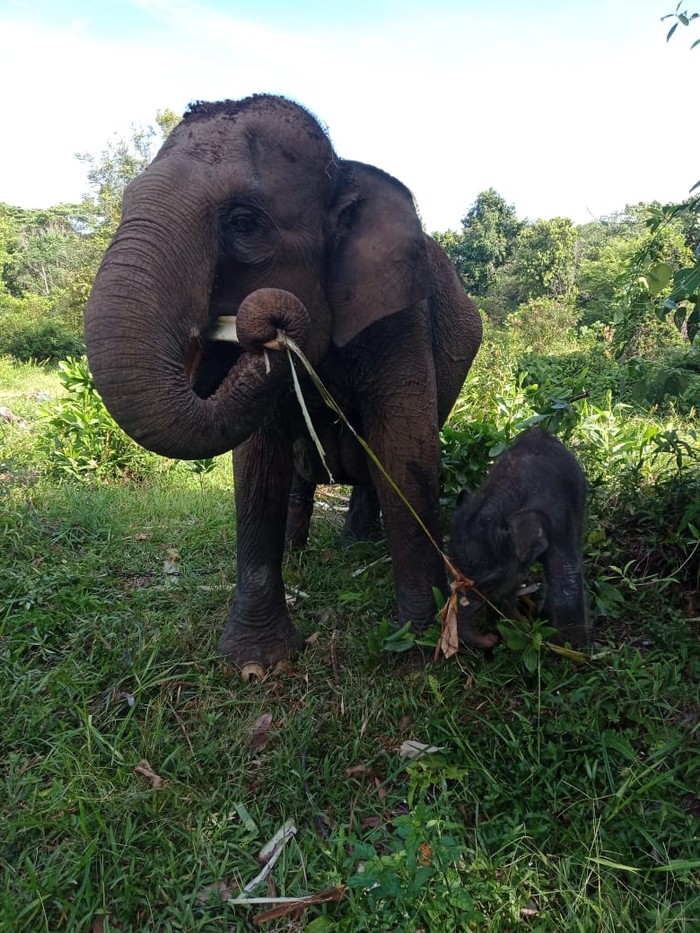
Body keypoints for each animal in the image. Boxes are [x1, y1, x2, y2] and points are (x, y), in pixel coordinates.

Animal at [84, 94, 482, 672]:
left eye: (244, 222)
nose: (267, 324)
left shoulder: (401, 317)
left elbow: (403, 447)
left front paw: (421, 644)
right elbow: (258, 463)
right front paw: (256, 663)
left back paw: (356, 547)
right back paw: (301, 551)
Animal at [449, 428, 589, 648]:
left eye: (489, 582)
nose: (492, 638)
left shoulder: (559, 519)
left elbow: (565, 575)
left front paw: (568, 647)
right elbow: (509, 587)